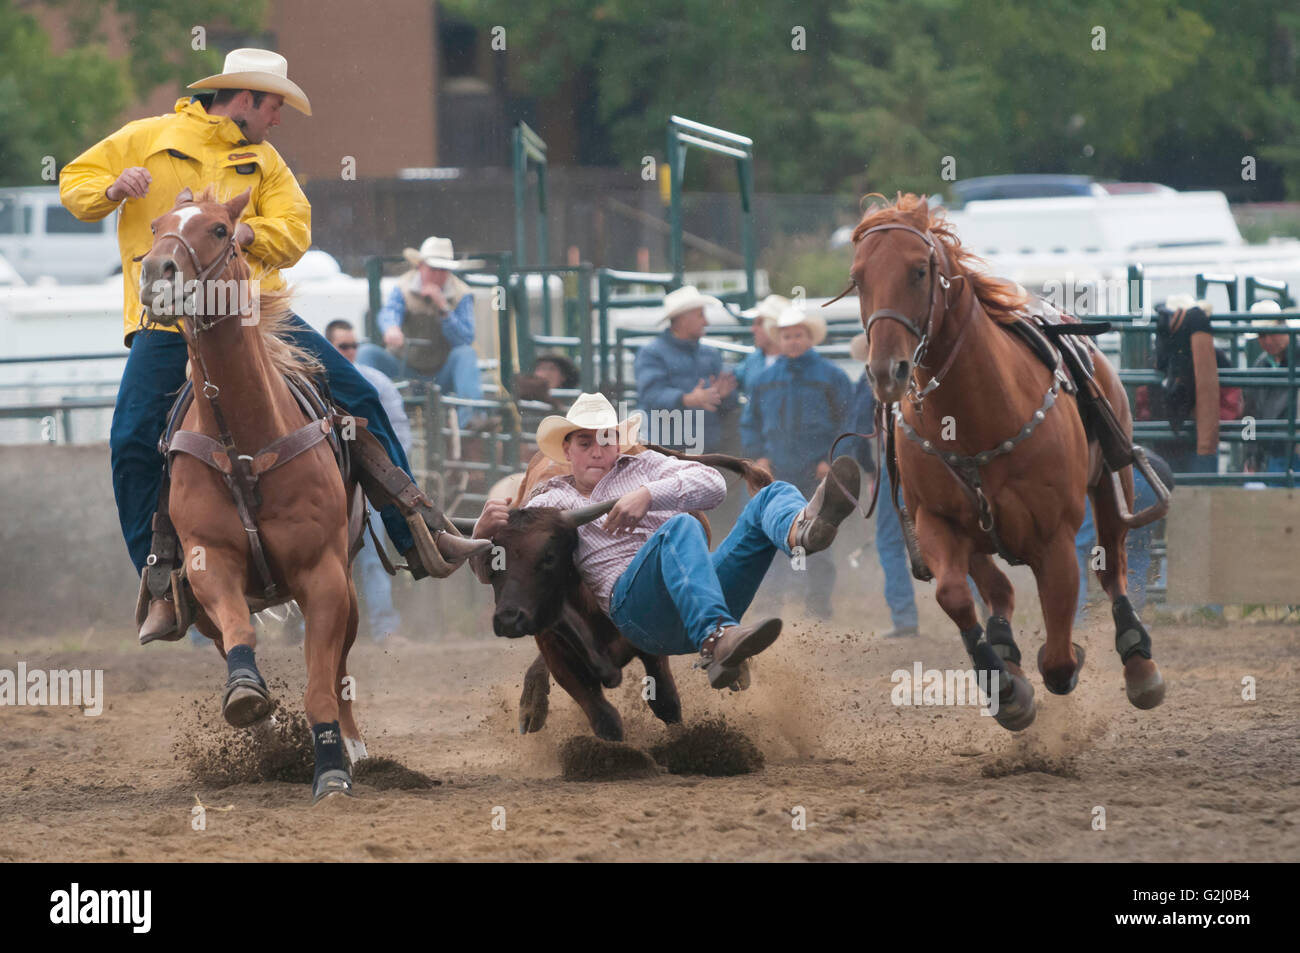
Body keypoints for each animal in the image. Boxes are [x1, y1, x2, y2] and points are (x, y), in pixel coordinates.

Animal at [138, 185, 366, 795]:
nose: (157, 272)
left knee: (340, 669)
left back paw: (356, 750)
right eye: (156, 227)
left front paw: (332, 771)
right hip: (196, 606)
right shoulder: (207, 561)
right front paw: (246, 695)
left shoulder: (323, 574)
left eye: (220, 229)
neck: (244, 439)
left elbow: (320, 685)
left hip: (348, 586)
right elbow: (240, 633)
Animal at [837, 191, 1175, 728]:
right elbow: (955, 597)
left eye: (918, 271)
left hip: (1110, 483)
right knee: (998, 590)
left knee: (1112, 568)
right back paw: (1005, 653)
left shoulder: (1055, 540)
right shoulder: (936, 523)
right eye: (858, 277)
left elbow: (1059, 654)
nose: (886, 371)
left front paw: (1057, 667)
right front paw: (1007, 688)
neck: (977, 418)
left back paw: (1139, 663)